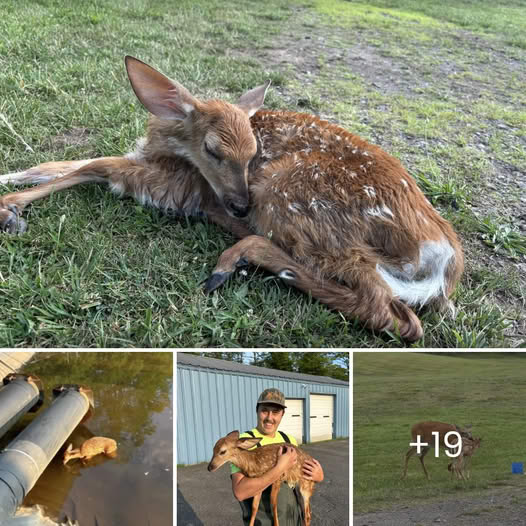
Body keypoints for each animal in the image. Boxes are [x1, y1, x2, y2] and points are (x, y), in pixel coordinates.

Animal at [0, 56, 464, 342]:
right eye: (213, 150)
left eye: (255, 152)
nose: (239, 206)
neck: (166, 147)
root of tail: (443, 257)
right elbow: (66, 162)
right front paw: (10, 179)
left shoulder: (173, 186)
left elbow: (95, 165)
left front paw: (10, 207)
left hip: (295, 200)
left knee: (394, 314)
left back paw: (237, 260)